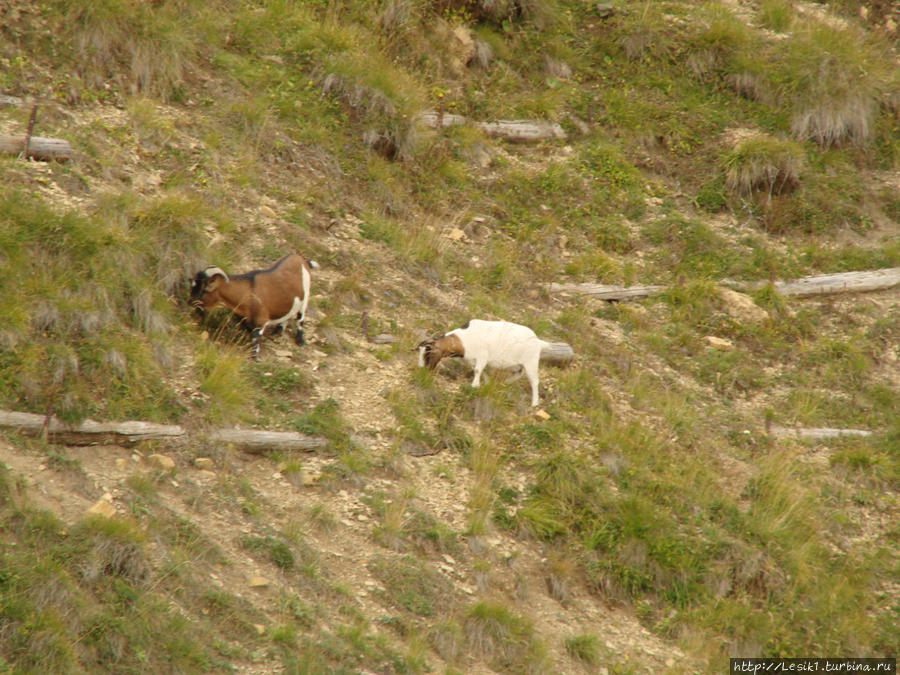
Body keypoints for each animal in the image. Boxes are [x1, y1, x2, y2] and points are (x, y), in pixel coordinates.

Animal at [414, 320, 548, 410]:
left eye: (428, 353)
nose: (421, 368)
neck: (464, 339)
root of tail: (538, 341)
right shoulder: (473, 359)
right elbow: (480, 371)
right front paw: (486, 383)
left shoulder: (482, 356)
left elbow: (478, 370)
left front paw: (474, 385)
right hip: (517, 364)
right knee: (519, 372)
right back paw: (505, 383)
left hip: (531, 362)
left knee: (534, 381)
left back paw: (534, 403)